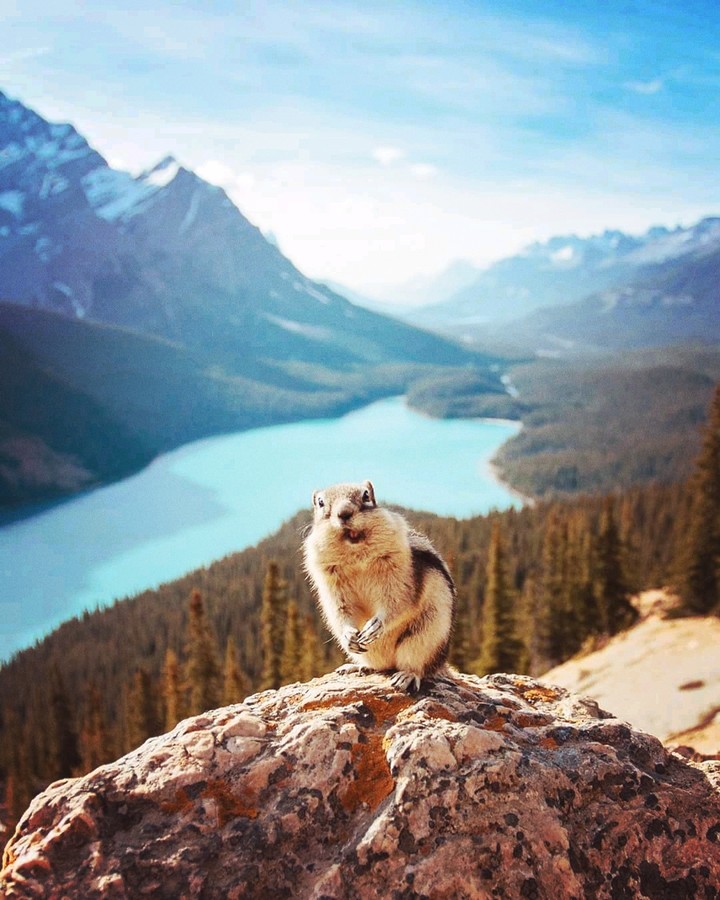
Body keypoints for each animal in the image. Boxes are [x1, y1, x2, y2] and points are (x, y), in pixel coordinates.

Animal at [303, 479, 456, 693]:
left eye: (366, 495)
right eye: (321, 503)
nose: (344, 513)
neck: (356, 554)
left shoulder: (400, 578)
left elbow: (398, 603)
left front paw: (375, 626)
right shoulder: (332, 585)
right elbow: (341, 610)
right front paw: (349, 635)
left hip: (424, 637)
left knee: (418, 666)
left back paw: (406, 676)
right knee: (379, 665)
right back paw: (355, 667)